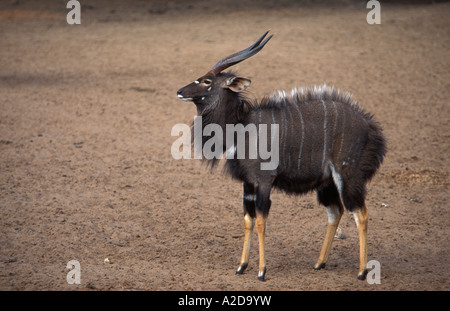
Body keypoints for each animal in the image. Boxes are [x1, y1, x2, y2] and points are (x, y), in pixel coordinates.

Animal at [176, 31, 386, 282]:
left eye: (207, 81)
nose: (180, 91)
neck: (240, 127)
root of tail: (371, 128)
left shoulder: (264, 181)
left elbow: (261, 220)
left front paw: (261, 271)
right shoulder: (248, 184)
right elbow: (248, 219)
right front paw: (241, 266)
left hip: (348, 175)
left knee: (361, 213)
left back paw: (362, 271)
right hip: (326, 183)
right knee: (336, 211)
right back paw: (319, 263)